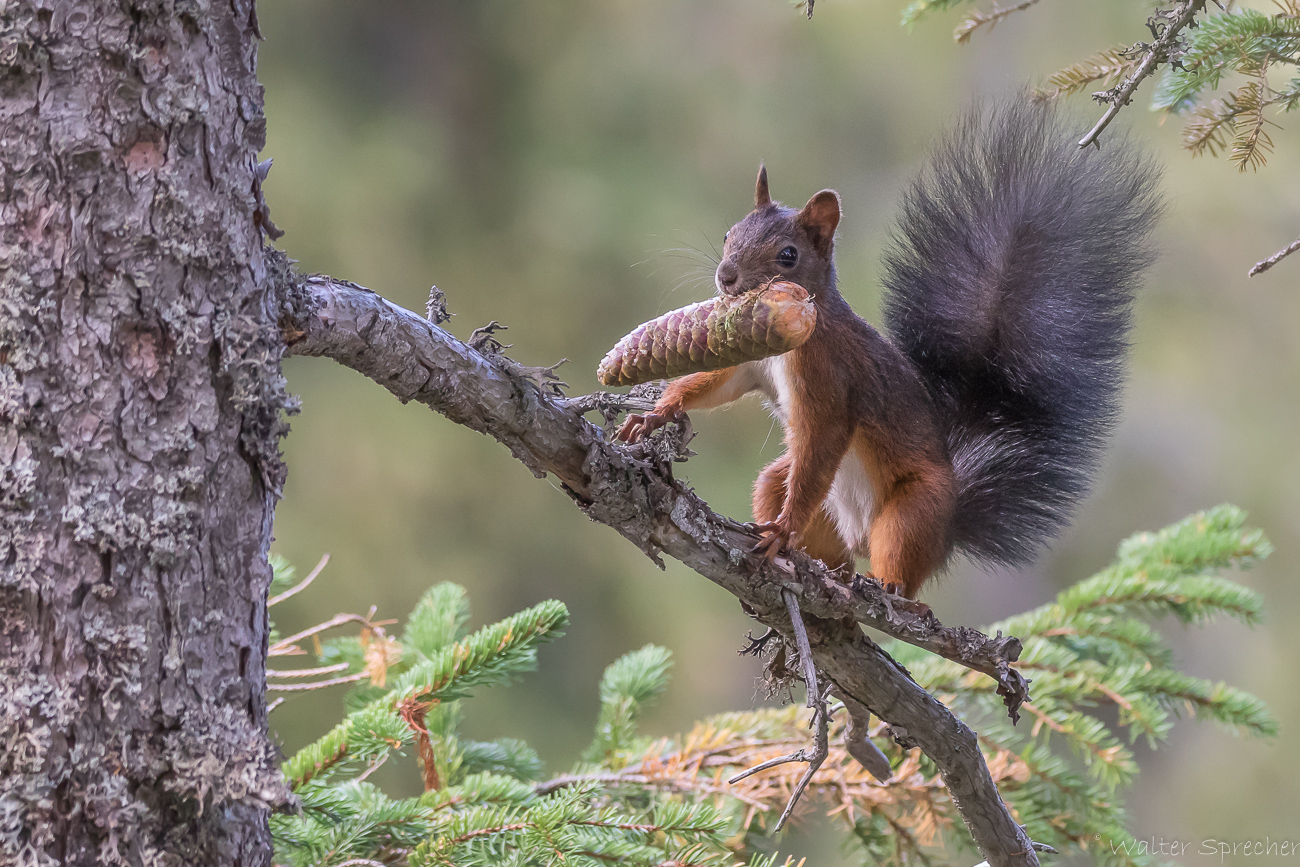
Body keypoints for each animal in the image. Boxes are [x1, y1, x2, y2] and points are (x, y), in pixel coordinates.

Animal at [616, 102, 1159, 600]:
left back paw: (884, 587)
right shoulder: (752, 362)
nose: (726, 277)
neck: (800, 331)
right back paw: (814, 567)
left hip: (914, 511)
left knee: (900, 564)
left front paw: (785, 527)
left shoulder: (831, 380)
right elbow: (716, 383)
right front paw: (656, 413)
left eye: (787, 256)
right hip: (785, 490)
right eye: (730, 232)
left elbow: (824, 439)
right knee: (794, 507)